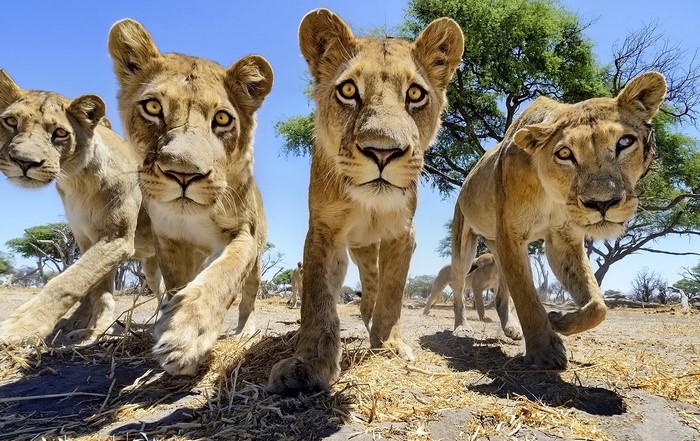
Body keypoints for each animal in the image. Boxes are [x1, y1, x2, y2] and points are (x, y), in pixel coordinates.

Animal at [0, 69, 162, 343]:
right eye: (10, 121)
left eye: (60, 133)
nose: (24, 162)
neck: (76, 180)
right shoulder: (86, 239)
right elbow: (95, 290)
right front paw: (87, 328)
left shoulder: (116, 238)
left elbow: (69, 281)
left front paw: (21, 326)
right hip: (151, 265)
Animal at [108, 19, 273, 375]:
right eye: (153, 107)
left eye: (222, 118)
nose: (184, 174)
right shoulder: (170, 241)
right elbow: (177, 284)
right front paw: (171, 320)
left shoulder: (242, 235)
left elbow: (224, 274)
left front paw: (184, 334)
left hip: (258, 259)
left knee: (249, 296)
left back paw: (245, 331)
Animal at [267, 9, 464, 394]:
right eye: (348, 90)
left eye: (415, 93)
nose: (382, 151)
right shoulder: (323, 230)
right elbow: (318, 298)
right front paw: (309, 362)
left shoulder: (403, 234)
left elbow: (392, 293)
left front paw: (388, 344)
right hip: (356, 248)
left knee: (374, 284)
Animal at [451, 72, 666, 369]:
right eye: (565, 154)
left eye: (624, 142)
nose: (602, 203)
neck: (552, 194)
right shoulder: (511, 236)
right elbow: (527, 298)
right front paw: (545, 351)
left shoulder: (562, 239)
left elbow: (598, 304)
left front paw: (560, 321)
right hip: (466, 242)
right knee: (460, 285)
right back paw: (461, 327)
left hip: (497, 248)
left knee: (501, 295)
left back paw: (512, 329)